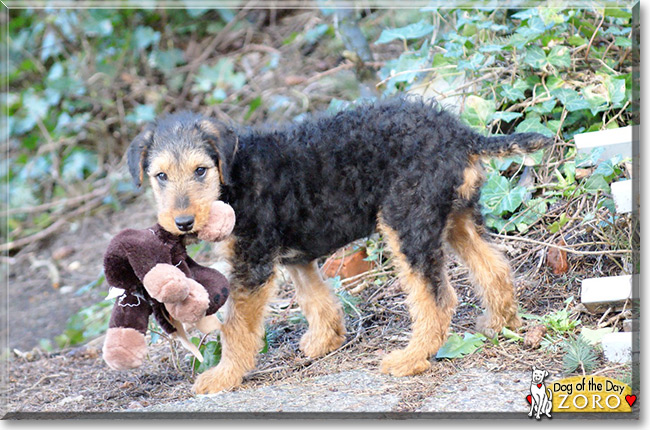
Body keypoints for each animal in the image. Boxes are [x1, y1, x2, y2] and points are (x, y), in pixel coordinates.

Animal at [128, 96, 552, 394]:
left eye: (200, 170)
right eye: (160, 176)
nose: (183, 223)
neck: (234, 174)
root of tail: (461, 134)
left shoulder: (252, 263)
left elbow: (236, 327)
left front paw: (222, 377)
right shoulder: (295, 259)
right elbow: (317, 300)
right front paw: (325, 341)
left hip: (406, 223)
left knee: (438, 298)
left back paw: (411, 358)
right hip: (454, 219)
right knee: (494, 267)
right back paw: (500, 324)